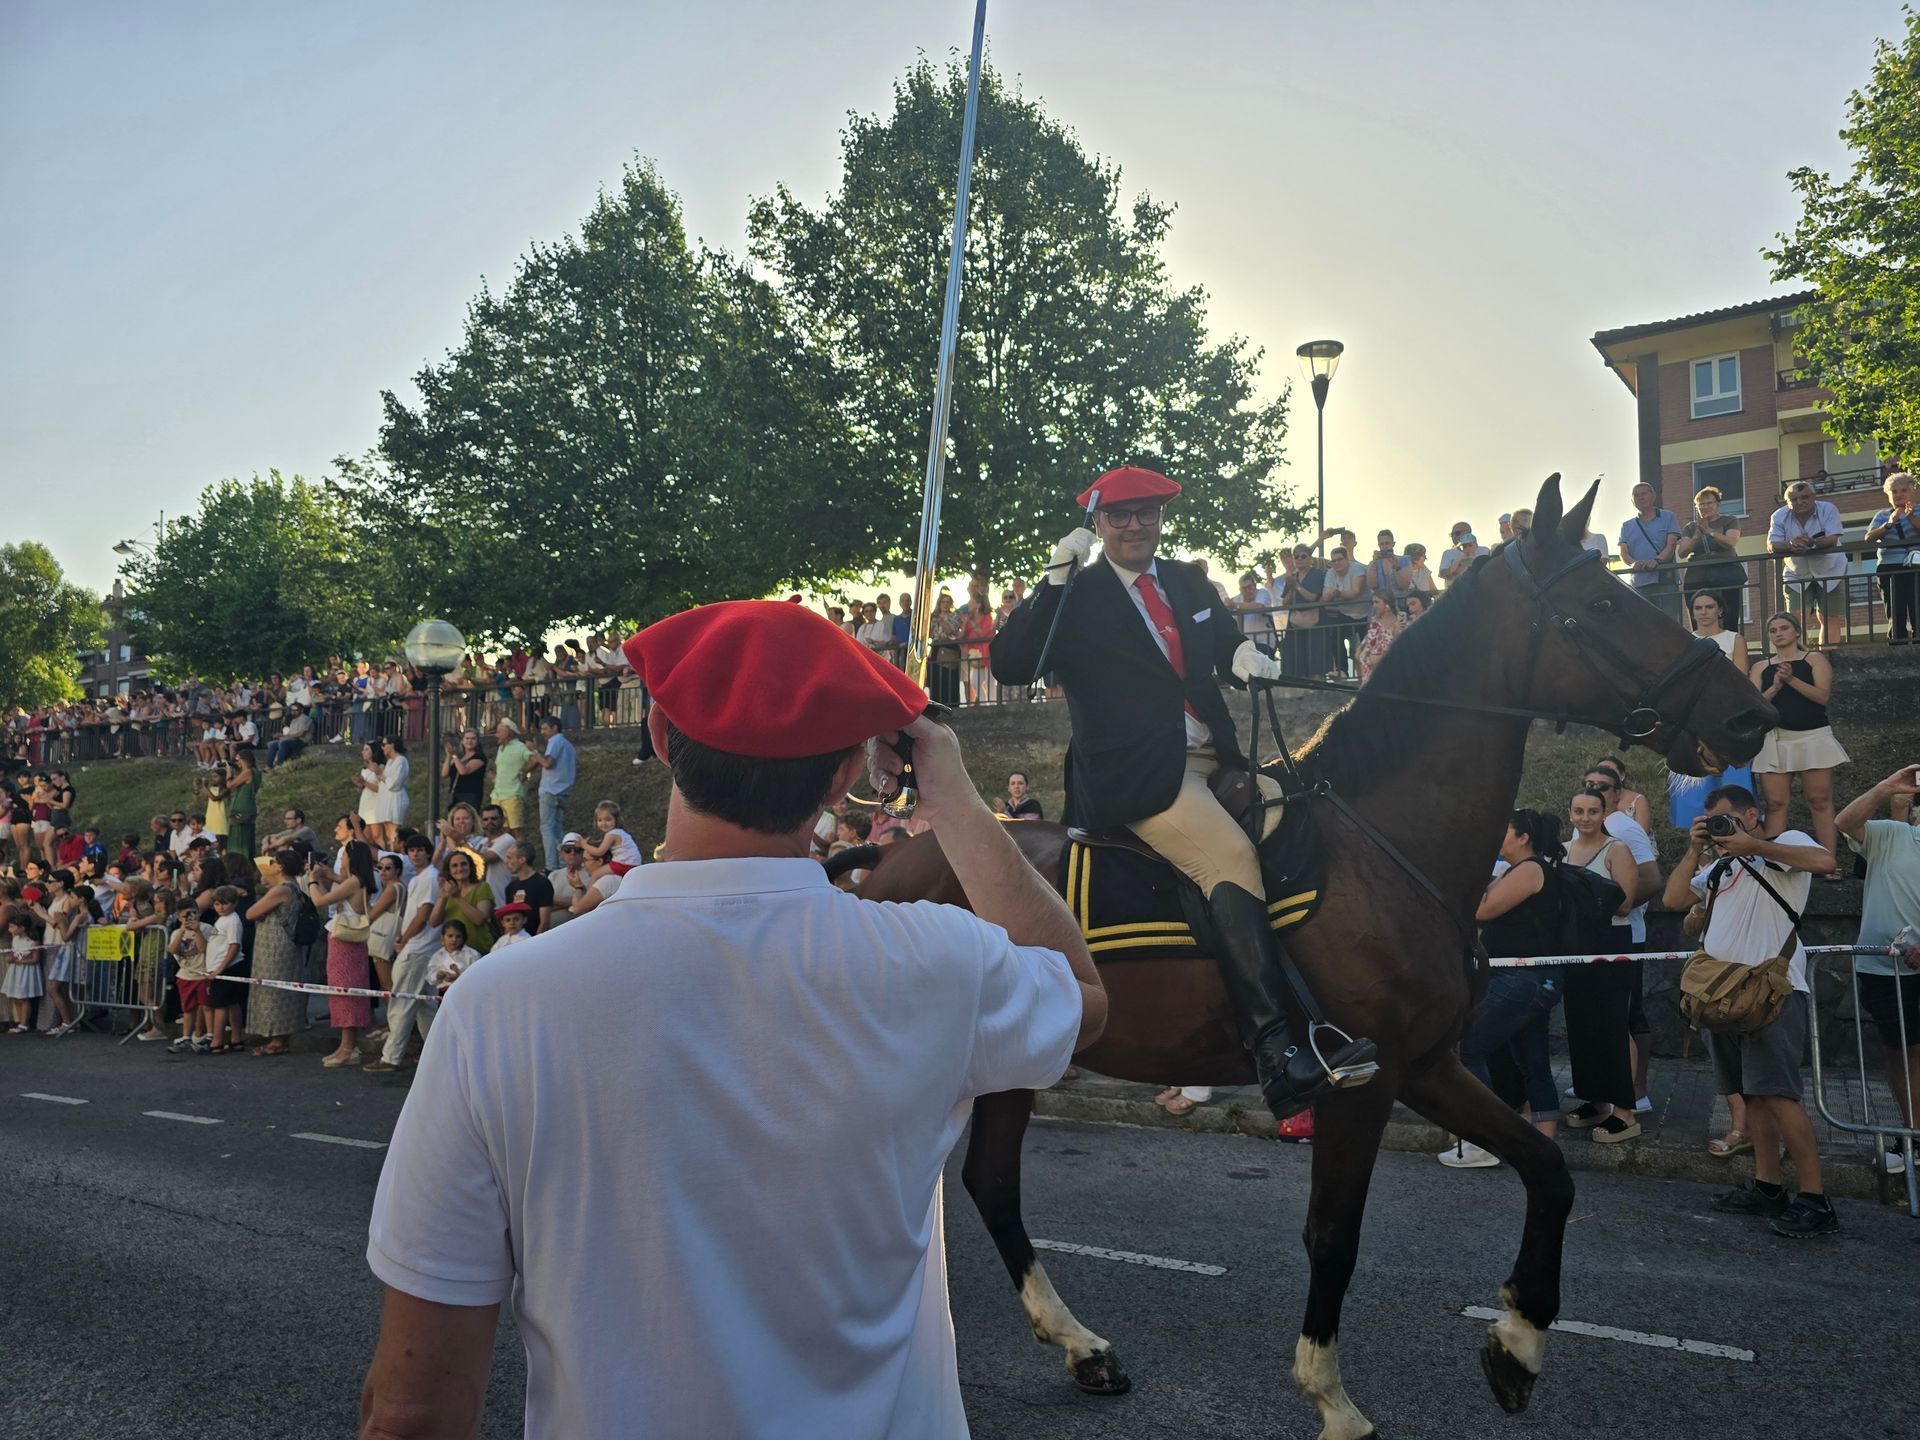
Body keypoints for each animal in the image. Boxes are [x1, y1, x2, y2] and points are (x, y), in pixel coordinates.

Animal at [852, 476, 1776, 1440]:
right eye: (1601, 605)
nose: (1750, 714)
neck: (1386, 843)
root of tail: (887, 860)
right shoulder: (1361, 1085)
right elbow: (1334, 1236)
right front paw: (1332, 1398)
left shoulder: (1428, 1065)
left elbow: (1549, 1170)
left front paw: (1517, 1345)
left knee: (992, 1185)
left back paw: (1082, 1348)